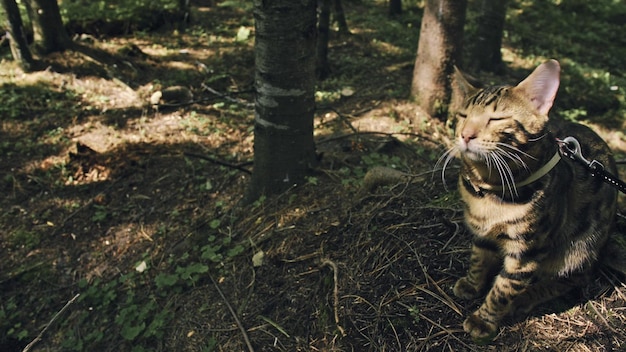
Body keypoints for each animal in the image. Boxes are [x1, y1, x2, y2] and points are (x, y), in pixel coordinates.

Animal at [444, 59, 620, 342]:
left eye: (496, 118)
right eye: (463, 116)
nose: (466, 135)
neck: (491, 190)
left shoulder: (526, 251)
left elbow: (503, 289)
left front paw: (484, 319)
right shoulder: (481, 234)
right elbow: (478, 260)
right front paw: (472, 284)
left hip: (581, 248)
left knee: (574, 279)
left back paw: (527, 298)